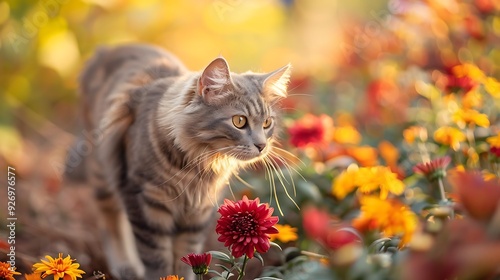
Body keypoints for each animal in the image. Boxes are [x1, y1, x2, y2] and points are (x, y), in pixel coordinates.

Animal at [73, 44, 292, 278]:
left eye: (267, 123)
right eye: (239, 121)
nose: (262, 146)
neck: (197, 167)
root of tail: (106, 50)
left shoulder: (197, 215)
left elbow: (186, 259)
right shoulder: (146, 203)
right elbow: (156, 260)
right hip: (103, 171)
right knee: (110, 220)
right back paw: (125, 266)